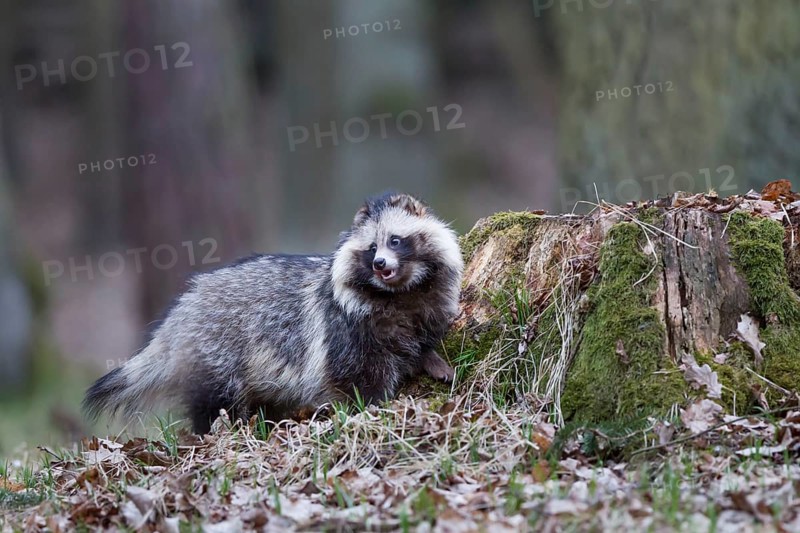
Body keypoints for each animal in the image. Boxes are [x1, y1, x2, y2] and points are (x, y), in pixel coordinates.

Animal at [83, 193, 464, 433]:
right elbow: (358, 376)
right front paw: (375, 405)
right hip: (218, 353)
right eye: (371, 248)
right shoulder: (346, 328)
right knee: (216, 403)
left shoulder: (428, 304)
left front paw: (429, 358)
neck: (399, 294)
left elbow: (421, 337)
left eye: (396, 240)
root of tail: (182, 312)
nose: (380, 264)